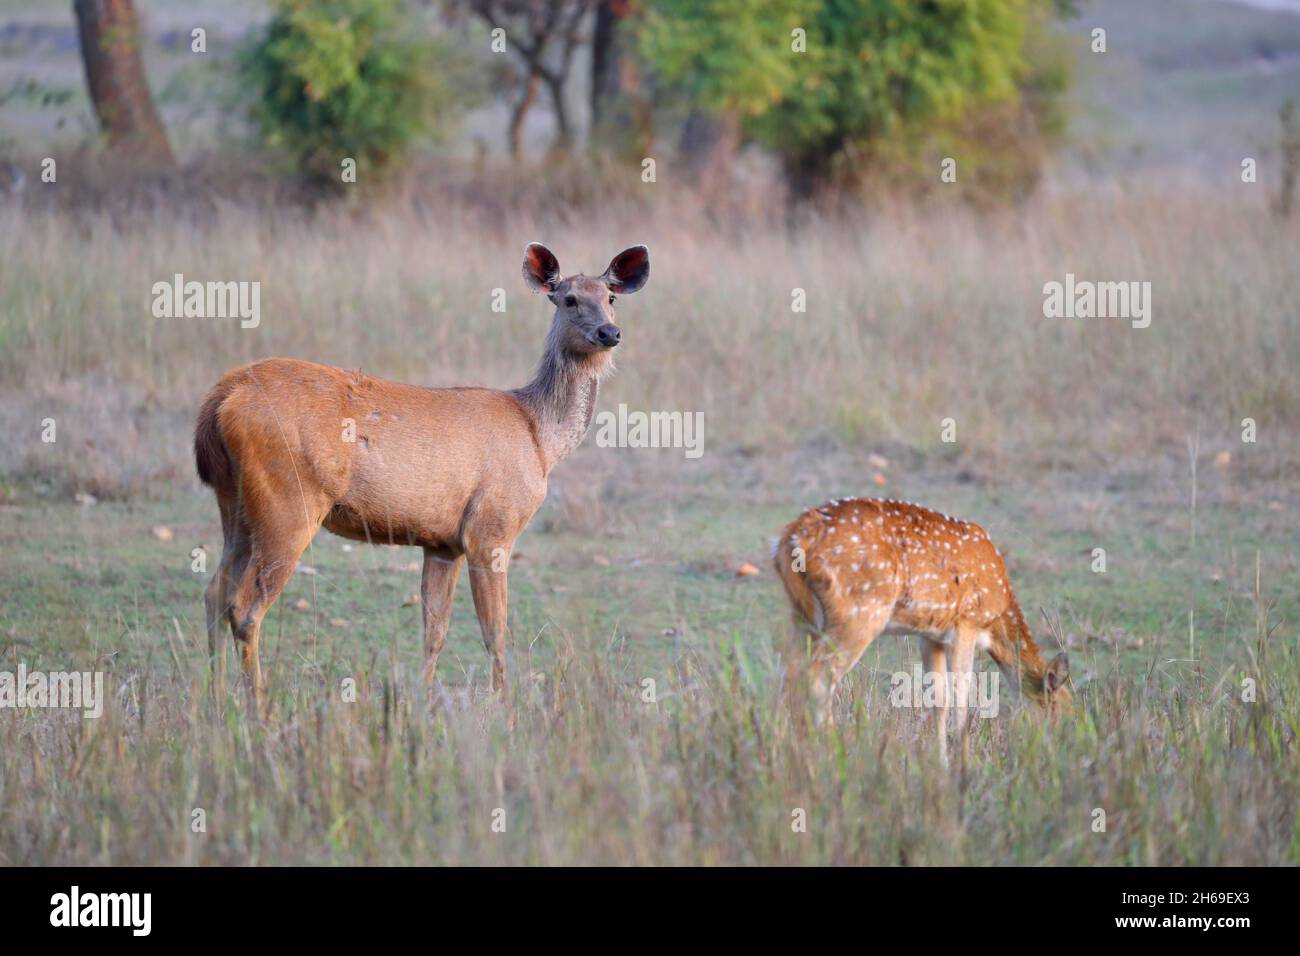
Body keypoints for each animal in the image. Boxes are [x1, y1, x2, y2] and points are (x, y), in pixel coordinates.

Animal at [193, 243, 650, 707]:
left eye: (611, 297)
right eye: (569, 299)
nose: (609, 333)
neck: (541, 437)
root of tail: (221, 398)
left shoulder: (442, 543)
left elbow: (435, 630)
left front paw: (423, 699)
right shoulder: (491, 528)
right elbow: (494, 630)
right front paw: (502, 703)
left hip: (236, 505)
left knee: (214, 594)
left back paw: (215, 699)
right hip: (289, 500)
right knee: (244, 607)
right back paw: (257, 705)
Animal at [769, 496, 1066, 749]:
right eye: (1060, 707)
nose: (1060, 748)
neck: (996, 618)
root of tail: (790, 537)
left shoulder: (930, 634)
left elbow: (939, 699)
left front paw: (940, 764)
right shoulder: (966, 623)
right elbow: (961, 699)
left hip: (803, 615)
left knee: (788, 670)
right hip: (857, 613)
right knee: (818, 676)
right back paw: (831, 750)